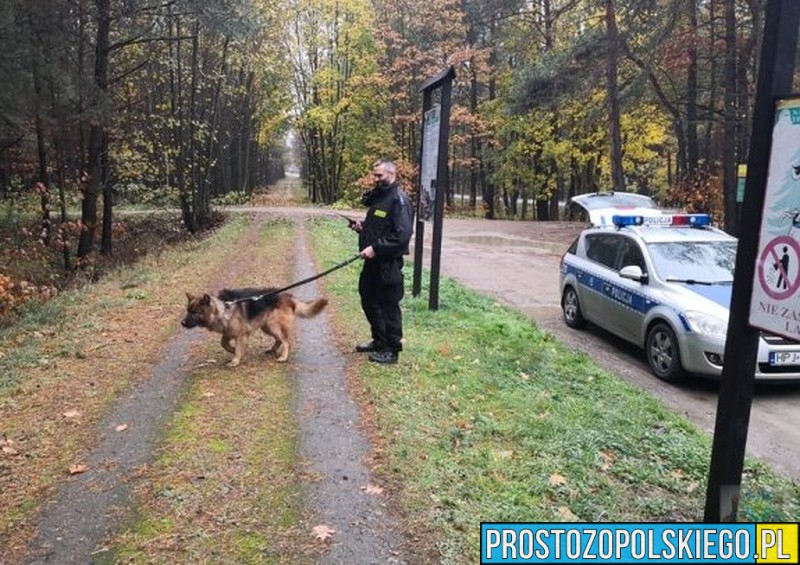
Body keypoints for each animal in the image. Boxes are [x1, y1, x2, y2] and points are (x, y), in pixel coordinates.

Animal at [182, 286, 328, 366]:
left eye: (195, 312)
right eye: (188, 311)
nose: (182, 323)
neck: (223, 308)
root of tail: (289, 297)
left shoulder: (240, 334)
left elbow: (237, 348)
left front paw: (235, 360)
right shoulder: (228, 332)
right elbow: (223, 343)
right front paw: (232, 350)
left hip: (273, 325)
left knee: (286, 341)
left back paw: (283, 357)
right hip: (267, 327)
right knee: (279, 339)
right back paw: (273, 350)